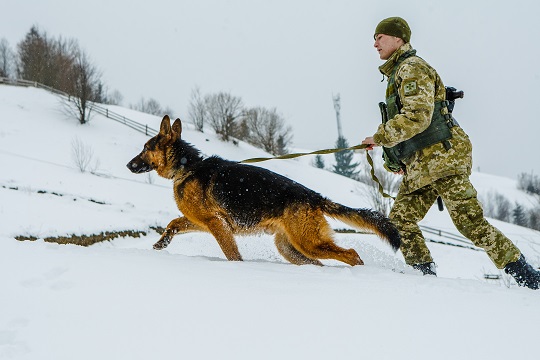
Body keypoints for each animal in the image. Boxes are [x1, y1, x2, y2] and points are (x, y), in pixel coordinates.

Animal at [124, 116, 398, 268]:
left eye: (146, 148)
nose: (128, 165)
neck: (188, 167)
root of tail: (314, 197)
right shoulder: (203, 221)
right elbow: (173, 224)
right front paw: (161, 243)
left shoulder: (216, 223)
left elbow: (231, 253)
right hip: (291, 249)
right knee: (322, 262)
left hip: (309, 243)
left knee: (351, 254)